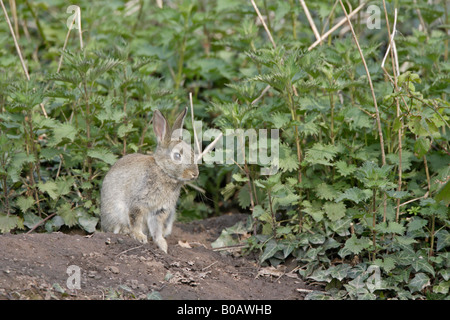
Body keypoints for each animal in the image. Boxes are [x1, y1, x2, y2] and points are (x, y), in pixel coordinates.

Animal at [100, 107, 199, 252]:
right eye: (177, 155)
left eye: (191, 152)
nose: (195, 174)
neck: (163, 171)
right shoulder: (138, 203)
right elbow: (135, 220)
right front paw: (140, 237)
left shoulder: (159, 211)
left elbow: (156, 229)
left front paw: (162, 246)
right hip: (114, 212)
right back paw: (125, 231)